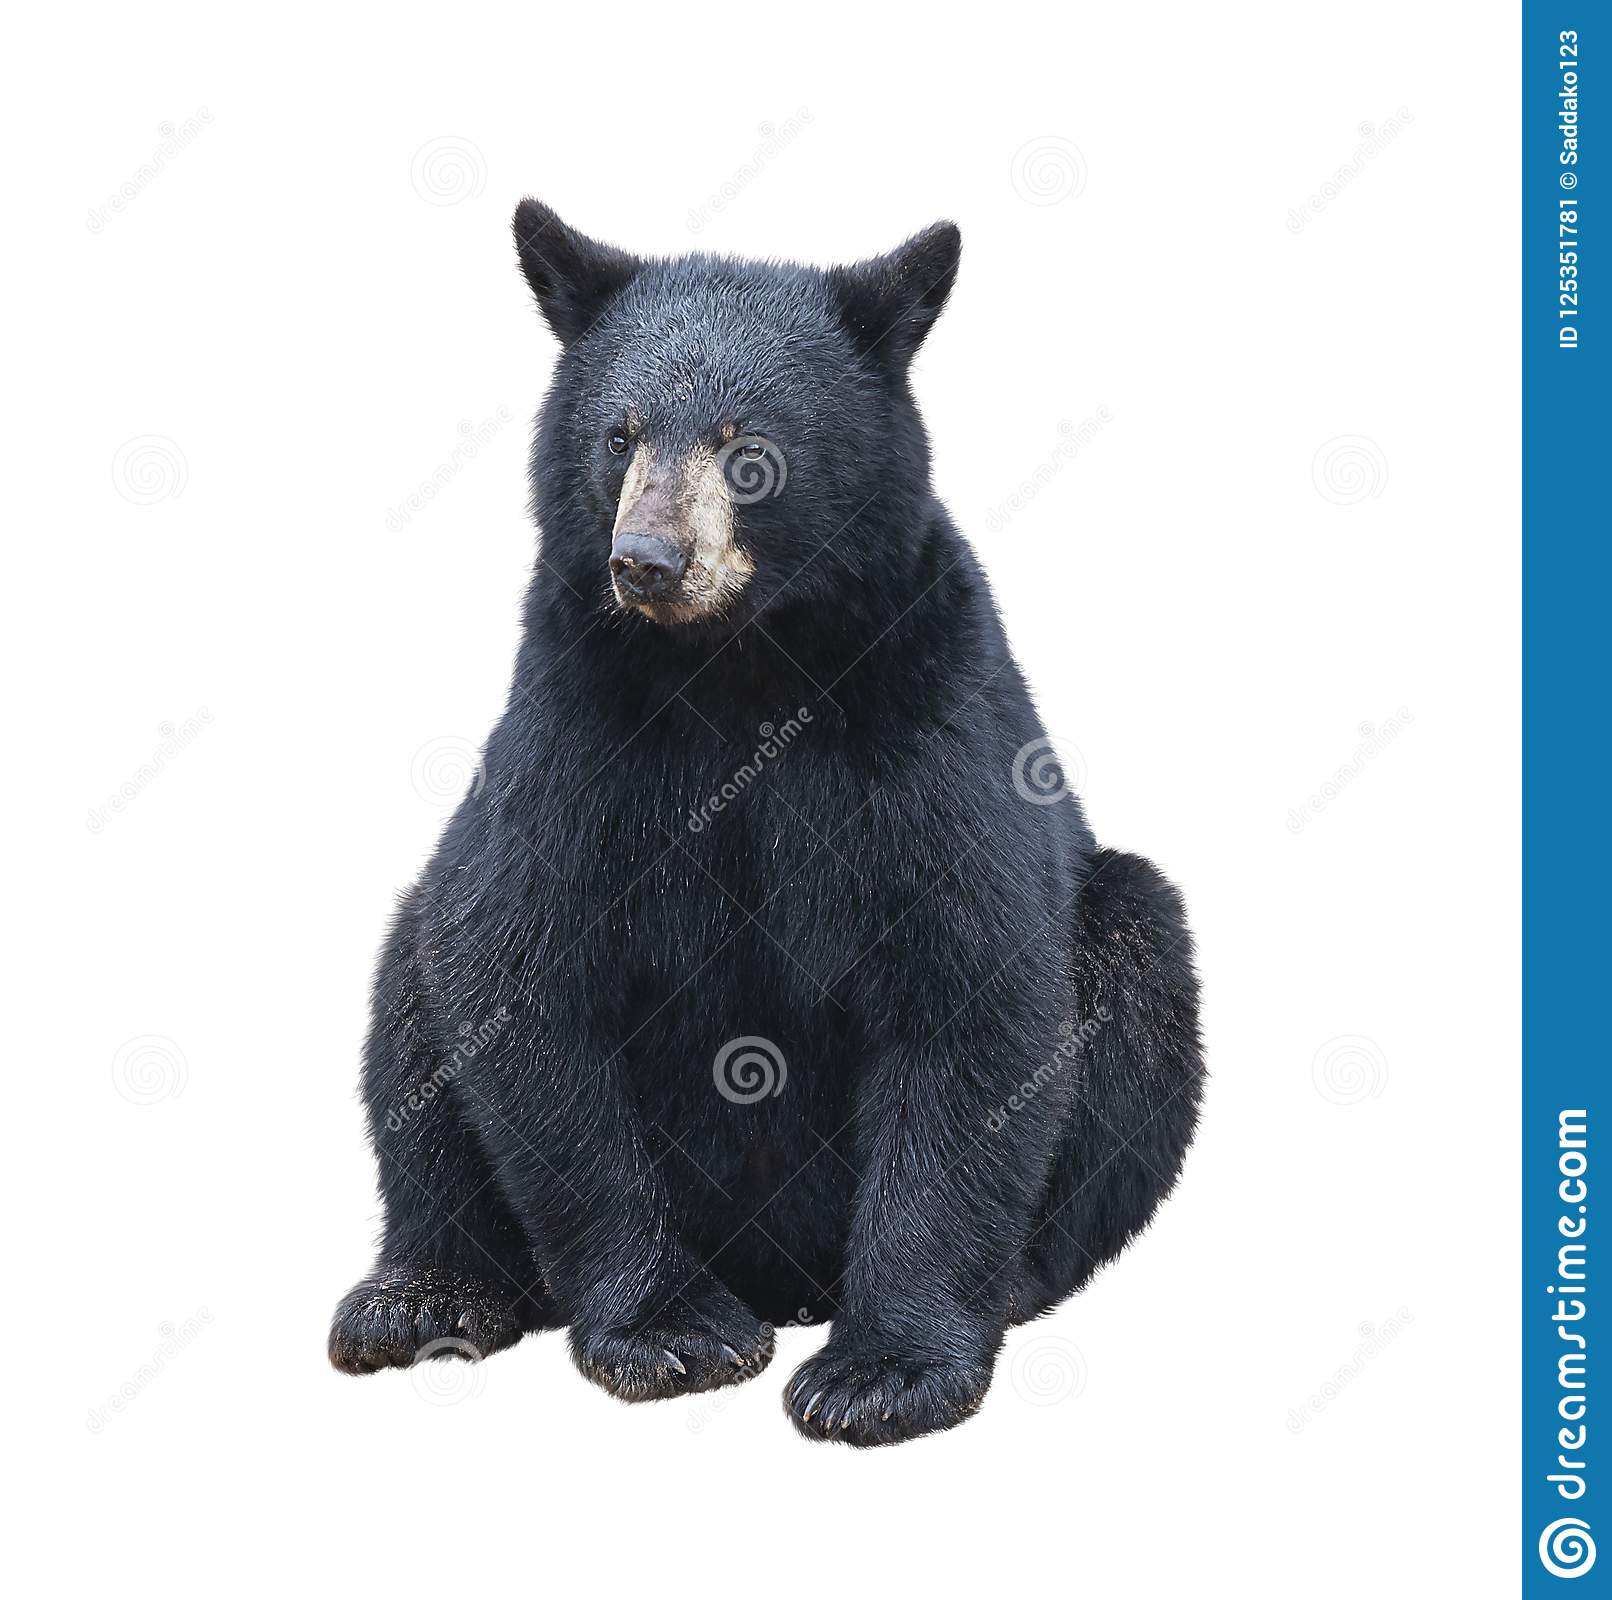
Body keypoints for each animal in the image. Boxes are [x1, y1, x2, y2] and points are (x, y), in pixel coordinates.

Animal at [328, 198, 1204, 1446]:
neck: (736, 668)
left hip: (1120, 931)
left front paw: (882, 1372)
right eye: (618, 436)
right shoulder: (575, 726)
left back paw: (1012, 1283)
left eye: (749, 453)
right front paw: (673, 1331)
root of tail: (780, 1269)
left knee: (1135, 952)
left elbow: (967, 990)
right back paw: (424, 1293)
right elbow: (519, 972)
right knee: (415, 975)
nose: (645, 561)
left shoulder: (925, 710)